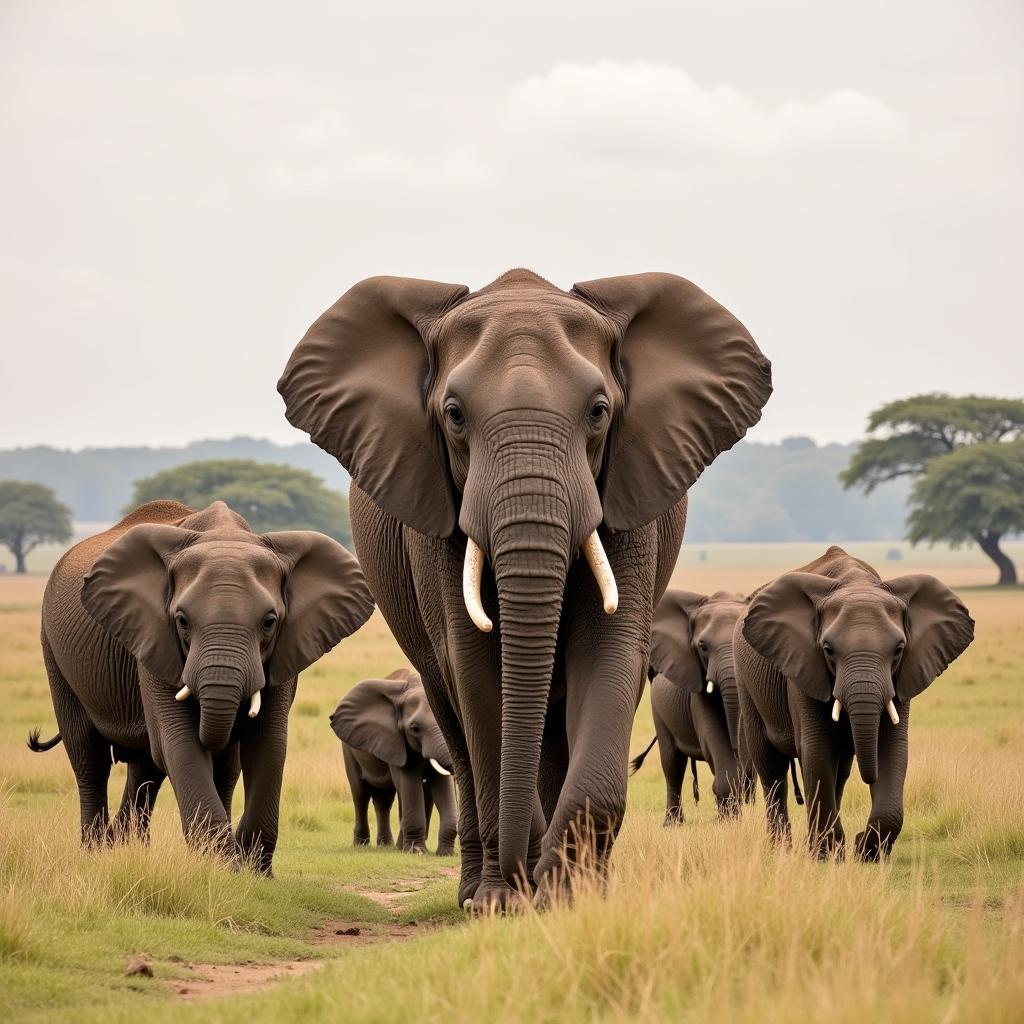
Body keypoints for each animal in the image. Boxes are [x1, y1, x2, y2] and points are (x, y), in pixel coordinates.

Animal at [30, 497, 376, 872]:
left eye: (269, 622)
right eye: (182, 620)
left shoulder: (288, 646)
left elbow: (267, 742)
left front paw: (252, 871)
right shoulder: (153, 638)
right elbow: (179, 741)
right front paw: (224, 868)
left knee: (156, 767)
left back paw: (128, 849)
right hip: (53, 650)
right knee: (89, 755)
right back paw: (97, 853)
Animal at [329, 663, 458, 856]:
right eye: (415, 728)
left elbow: (442, 784)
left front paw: (444, 853)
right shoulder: (396, 741)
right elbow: (409, 783)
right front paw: (417, 852)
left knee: (385, 799)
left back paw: (388, 845)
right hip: (348, 749)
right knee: (360, 794)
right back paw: (362, 844)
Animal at [626, 589, 765, 819]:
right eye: (703, 647)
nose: (736, 749)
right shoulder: (696, 693)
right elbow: (712, 738)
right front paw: (727, 820)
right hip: (659, 711)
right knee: (672, 764)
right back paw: (673, 823)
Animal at [733, 548, 970, 860]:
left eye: (899, 650)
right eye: (828, 650)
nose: (870, 777)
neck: (856, 582)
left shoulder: (903, 675)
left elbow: (892, 750)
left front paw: (865, 853)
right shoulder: (805, 667)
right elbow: (817, 750)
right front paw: (827, 854)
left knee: (840, 773)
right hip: (747, 683)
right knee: (771, 768)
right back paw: (782, 849)